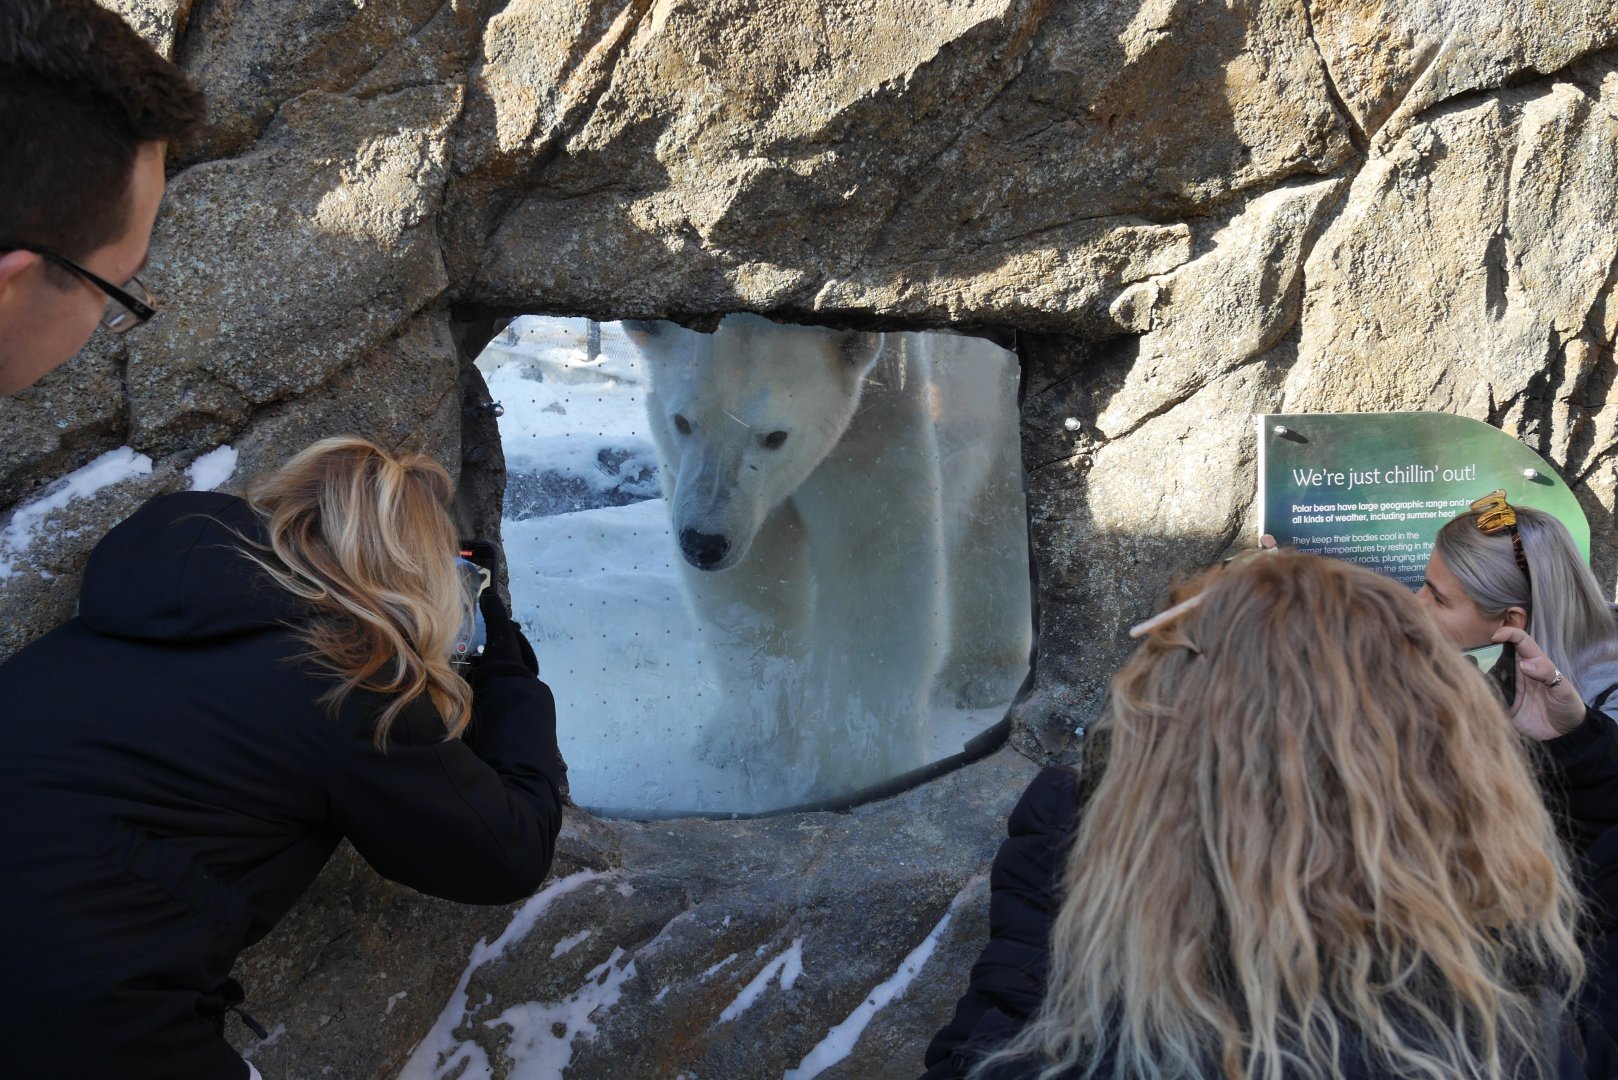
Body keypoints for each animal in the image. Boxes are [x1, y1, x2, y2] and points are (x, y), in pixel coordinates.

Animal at [625, 314, 1030, 802]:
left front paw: (856, 776)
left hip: (997, 389)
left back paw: (979, 676)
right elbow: (752, 590)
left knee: (997, 516)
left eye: (775, 436)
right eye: (683, 421)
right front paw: (747, 746)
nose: (704, 543)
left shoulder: (878, 415)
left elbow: (873, 568)